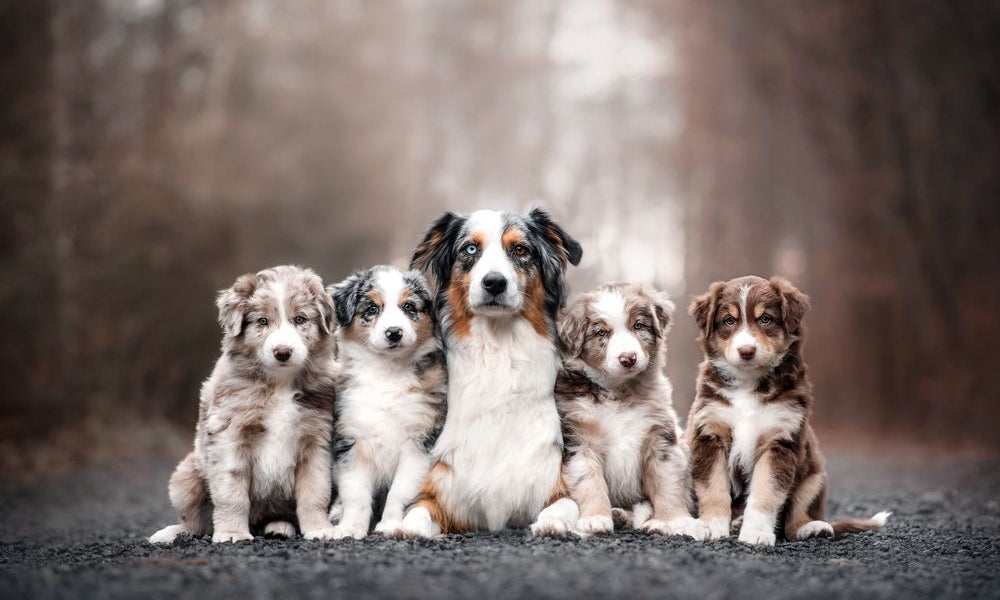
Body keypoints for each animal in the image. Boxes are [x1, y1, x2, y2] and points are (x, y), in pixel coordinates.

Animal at [147, 268, 336, 544]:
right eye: (262, 321)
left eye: (300, 319)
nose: (282, 352)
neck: (280, 383)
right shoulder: (229, 435)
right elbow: (231, 492)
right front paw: (232, 533)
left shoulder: (316, 441)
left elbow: (314, 491)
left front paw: (319, 529)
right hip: (185, 477)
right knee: (196, 523)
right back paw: (170, 533)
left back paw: (279, 527)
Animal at [556, 284, 712, 540]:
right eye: (601, 333)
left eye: (638, 326)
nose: (628, 358)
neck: (620, 392)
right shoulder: (580, 443)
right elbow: (589, 483)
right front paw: (595, 519)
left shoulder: (661, 441)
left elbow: (668, 485)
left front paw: (677, 522)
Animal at [688, 278, 892, 548]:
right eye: (729, 321)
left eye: (765, 319)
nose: (746, 351)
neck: (748, 384)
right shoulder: (709, 433)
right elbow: (713, 488)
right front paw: (712, 526)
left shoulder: (781, 440)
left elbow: (766, 492)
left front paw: (756, 533)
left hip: (814, 477)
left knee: (796, 519)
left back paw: (813, 528)